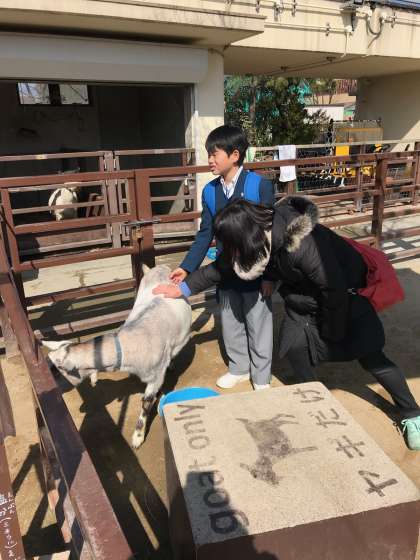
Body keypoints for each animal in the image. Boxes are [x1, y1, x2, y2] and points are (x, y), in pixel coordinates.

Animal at [43, 265, 192, 448]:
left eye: (58, 368)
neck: (131, 343)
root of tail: (159, 267)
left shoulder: (157, 374)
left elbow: (146, 403)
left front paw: (137, 437)